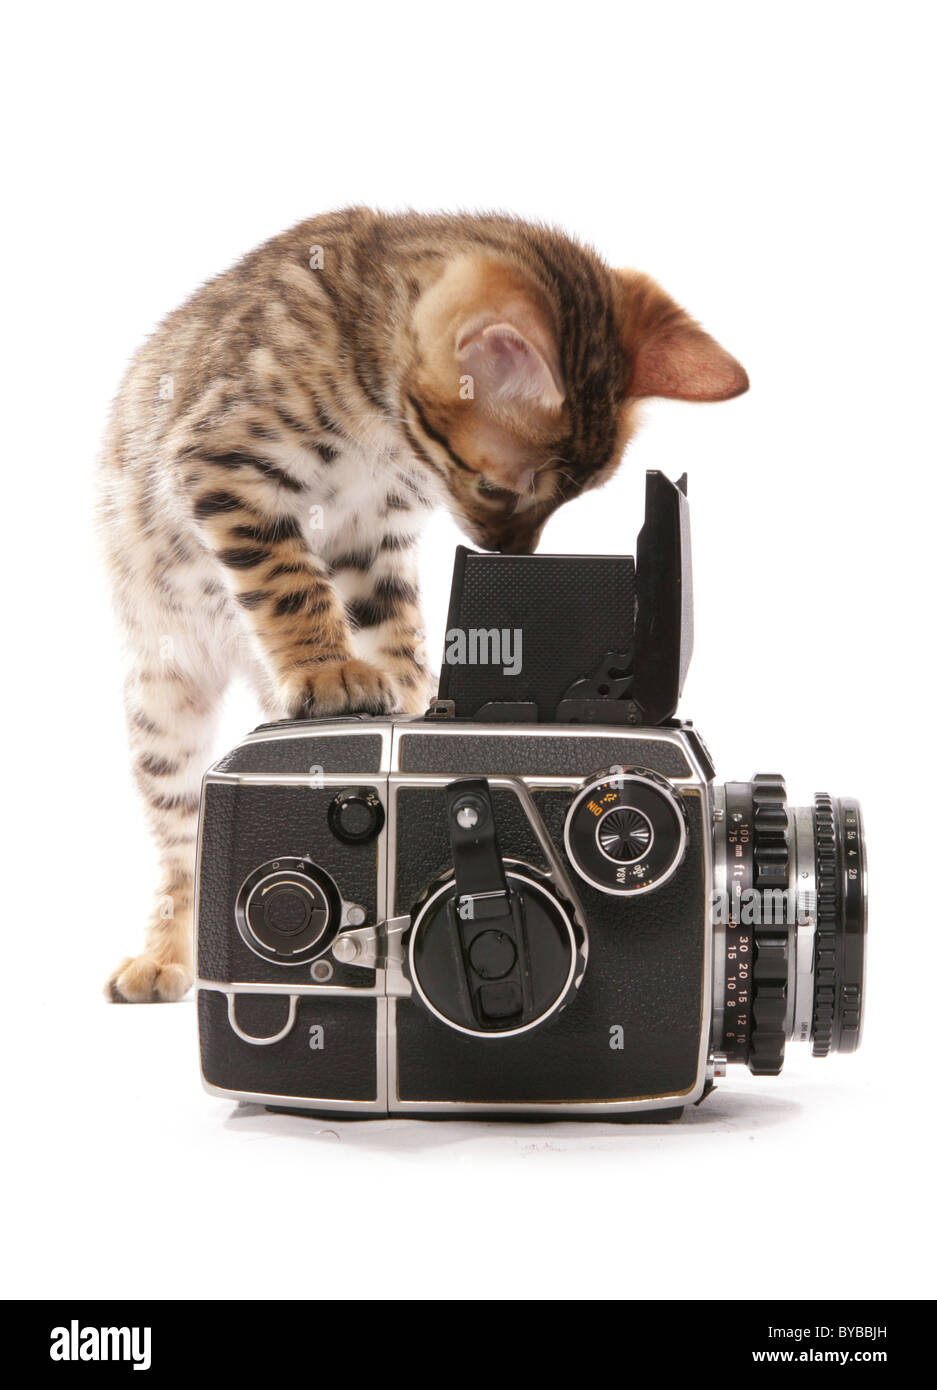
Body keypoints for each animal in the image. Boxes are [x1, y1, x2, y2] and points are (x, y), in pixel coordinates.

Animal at [98, 205, 745, 1006]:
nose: (511, 554)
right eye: (499, 488)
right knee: (180, 844)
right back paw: (165, 953)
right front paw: (328, 671)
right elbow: (291, 584)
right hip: (164, 705)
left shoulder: (368, 539)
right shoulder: (228, 465)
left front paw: (408, 691)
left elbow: (388, 621)